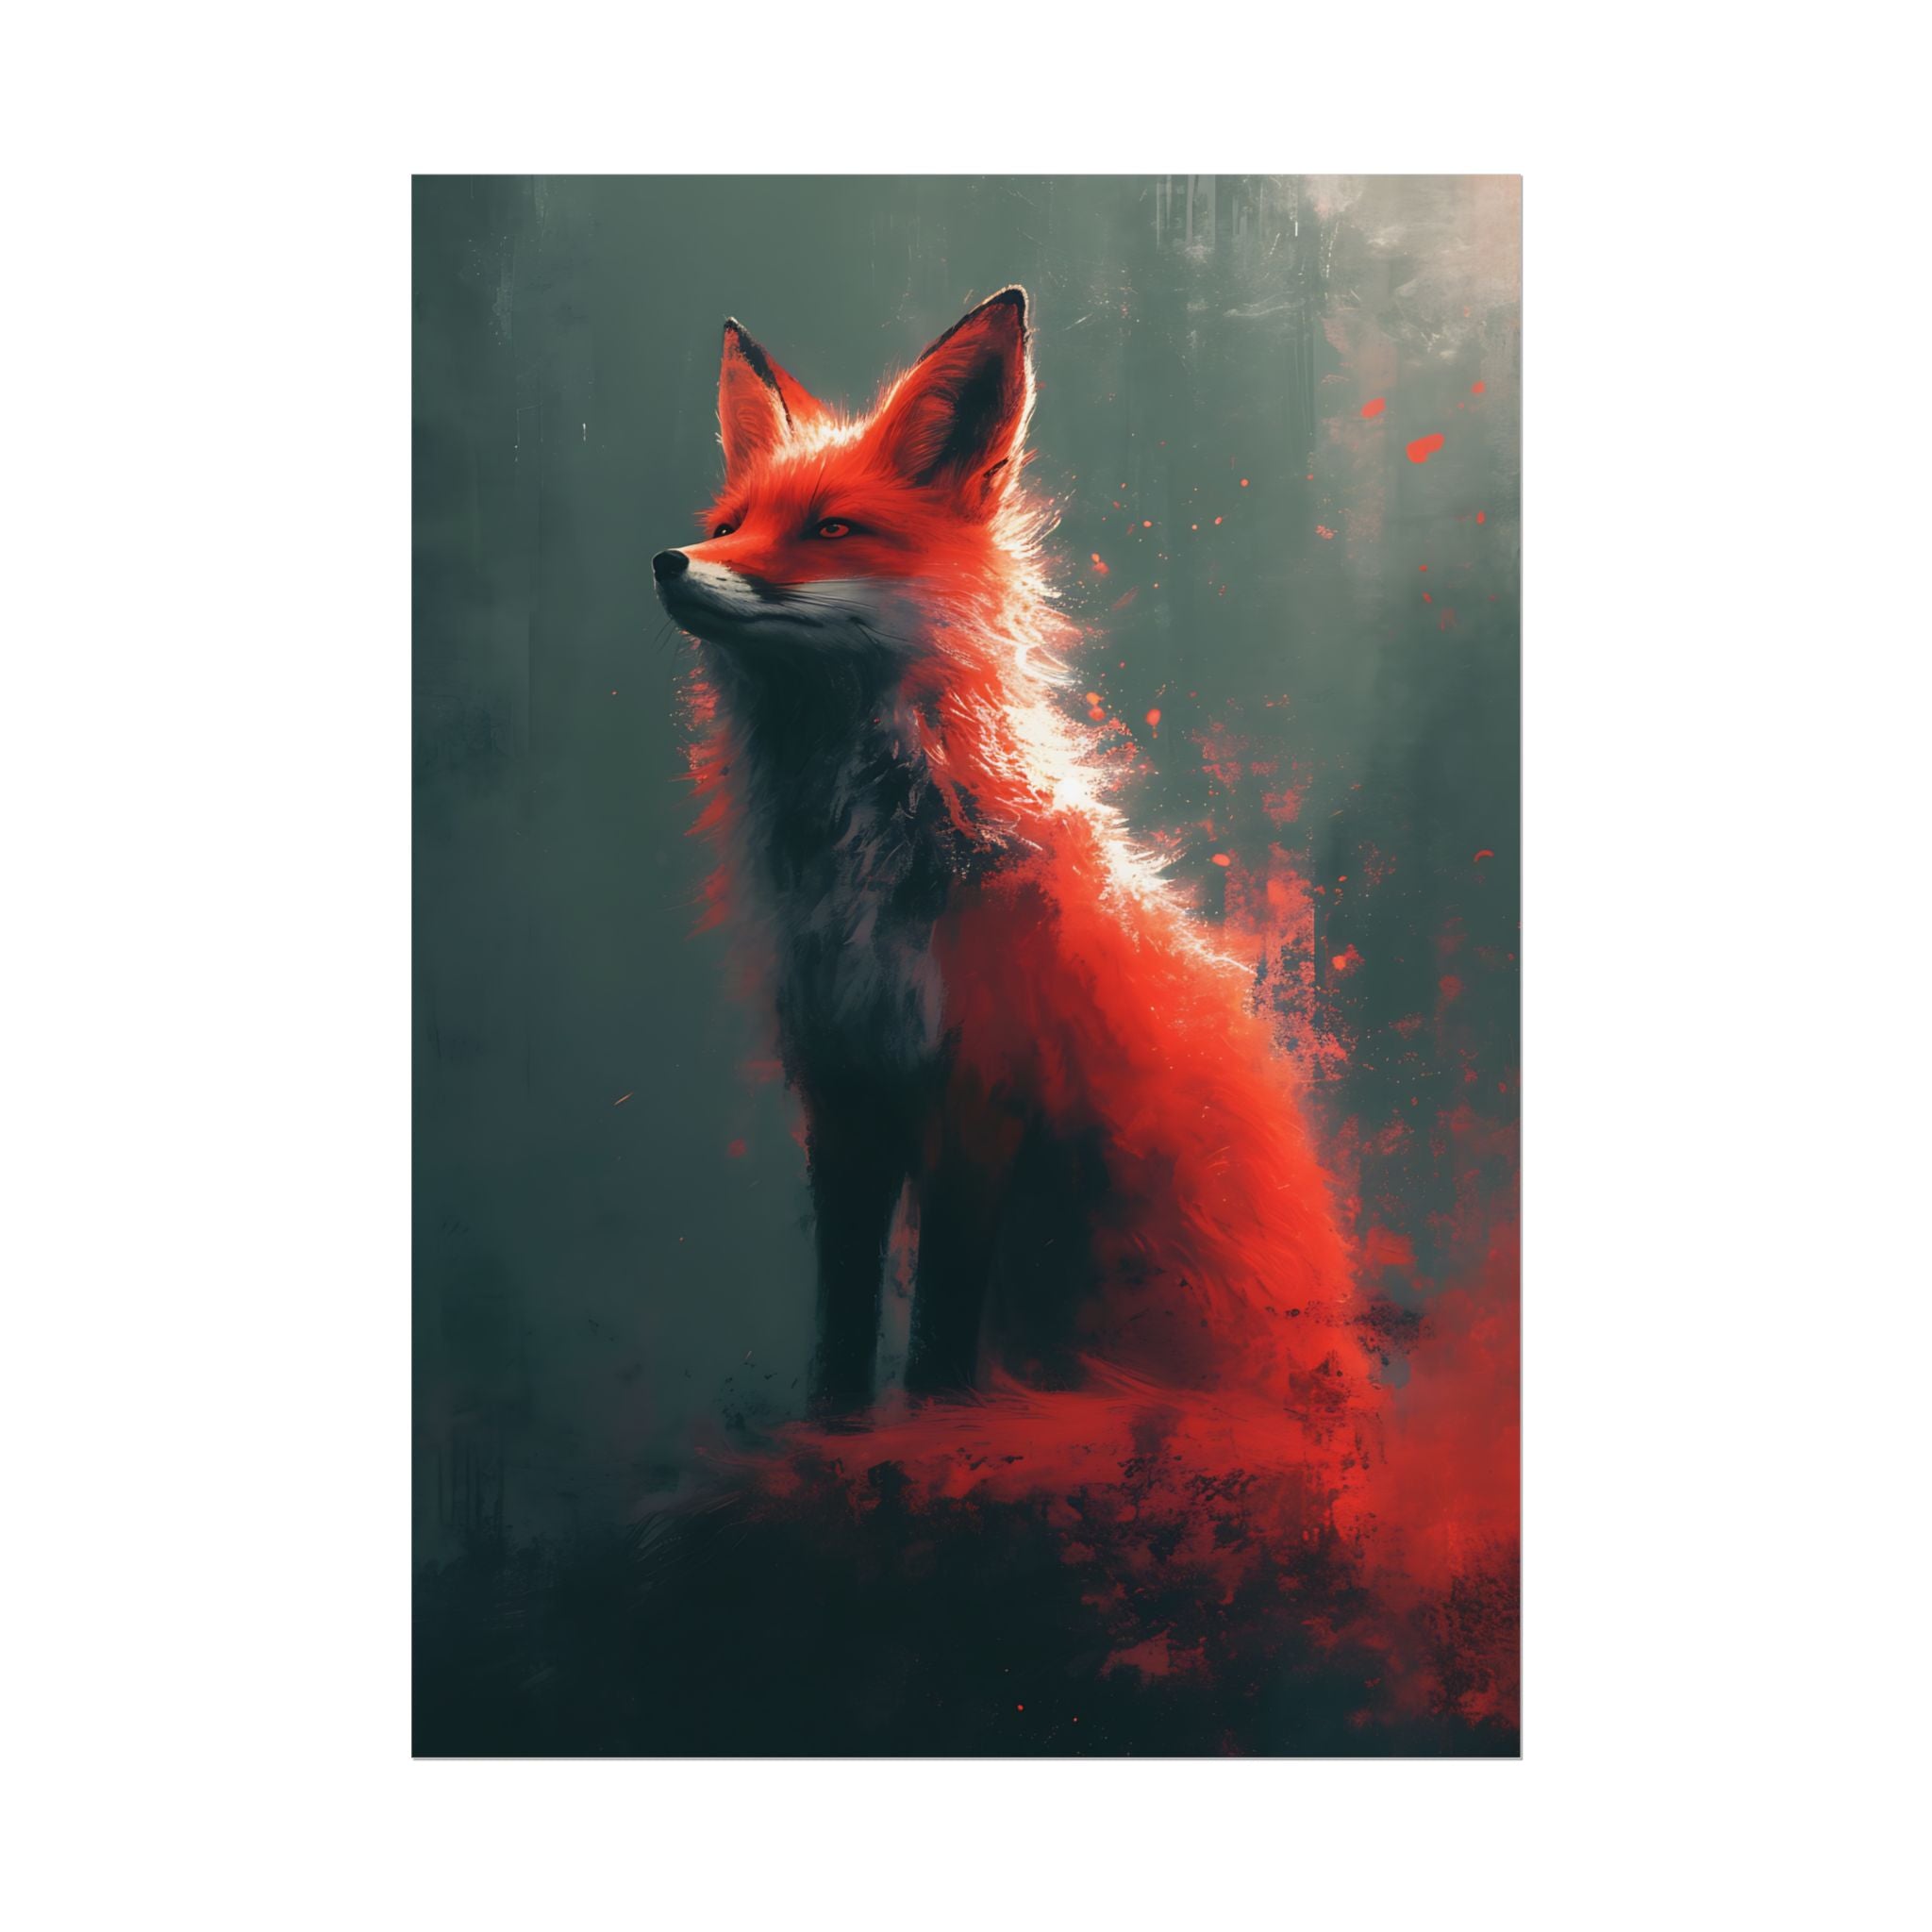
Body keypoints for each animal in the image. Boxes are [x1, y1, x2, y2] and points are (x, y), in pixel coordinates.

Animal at [653, 287, 1375, 1433]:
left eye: (830, 529)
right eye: (730, 526)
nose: (670, 562)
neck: (867, 869)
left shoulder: (982, 1087)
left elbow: (941, 1325)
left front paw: (934, 1428)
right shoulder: (843, 1087)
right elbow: (843, 1311)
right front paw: (834, 1429)